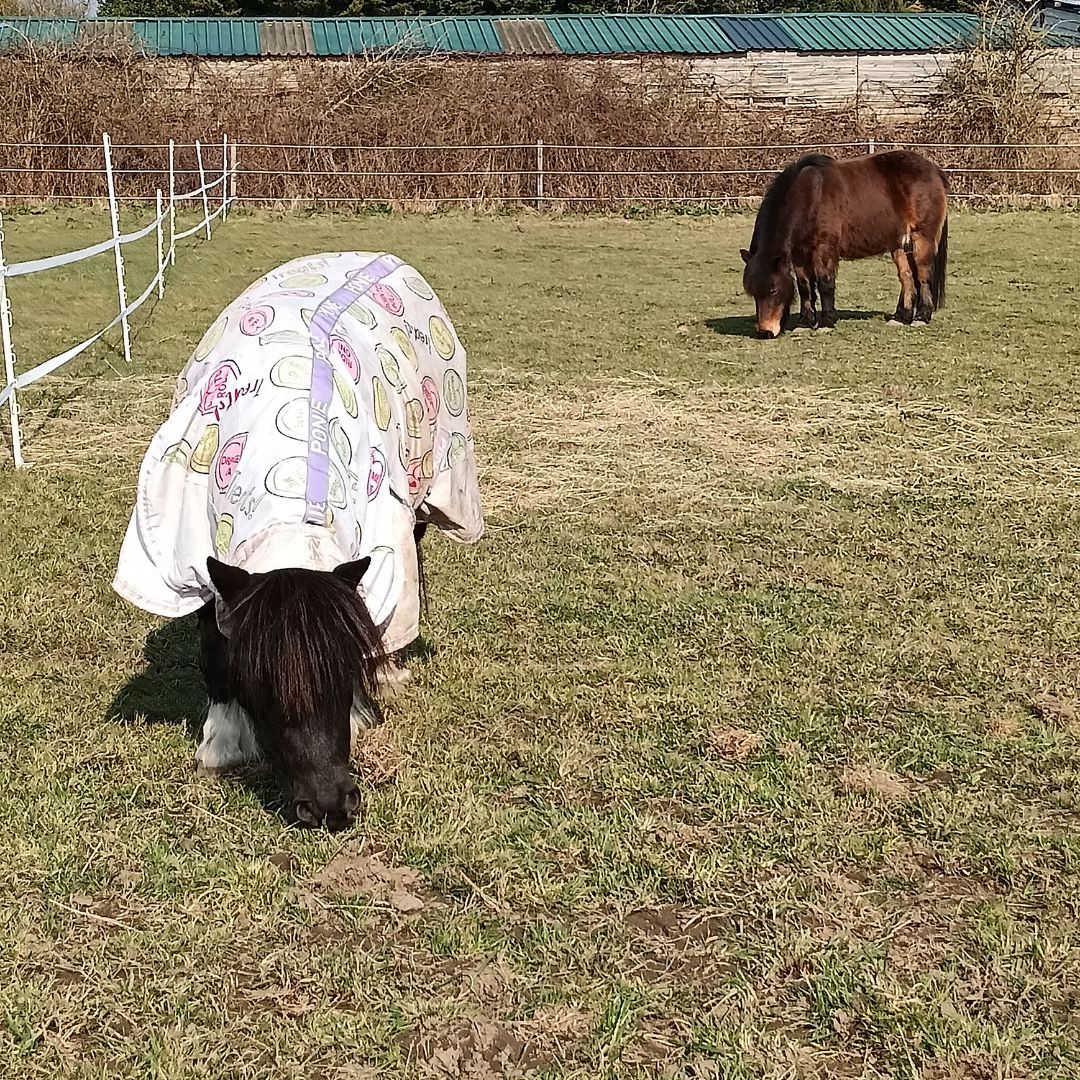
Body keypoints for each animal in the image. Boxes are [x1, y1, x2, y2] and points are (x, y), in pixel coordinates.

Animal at [114, 252, 485, 829]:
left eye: (344, 670)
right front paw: (222, 744)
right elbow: (213, 646)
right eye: (261, 684)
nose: (330, 806)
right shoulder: (196, 565)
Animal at [740, 150, 949, 338]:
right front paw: (805, 324)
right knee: (907, 277)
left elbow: (825, 284)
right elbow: (805, 286)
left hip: (921, 238)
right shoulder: (799, 254)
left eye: (773, 289)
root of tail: (934, 170)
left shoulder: (824, 249)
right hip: (899, 243)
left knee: (923, 275)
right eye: (753, 293)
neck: (810, 197)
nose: (765, 332)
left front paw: (826, 323)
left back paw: (921, 317)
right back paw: (900, 318)